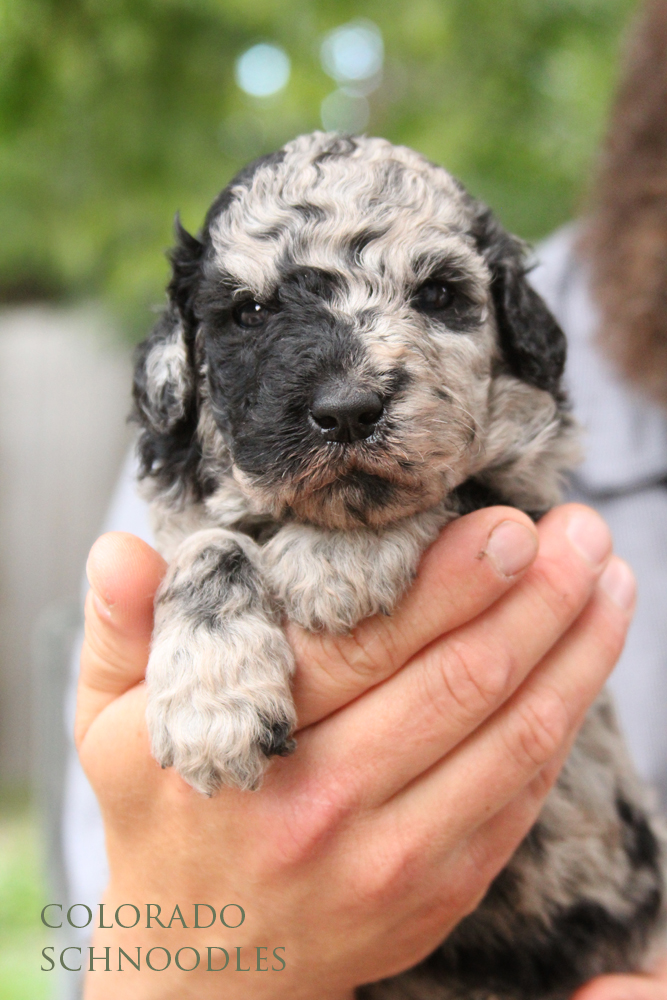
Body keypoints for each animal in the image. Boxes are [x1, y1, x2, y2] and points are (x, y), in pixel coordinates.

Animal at [133, 133, 664, 1000]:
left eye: (439, 295)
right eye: (251, 312)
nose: (348, 410)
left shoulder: (528, 493)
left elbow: (455, 489)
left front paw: (335, 561)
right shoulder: (182, 517)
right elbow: (208, 546)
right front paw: (211, 704)